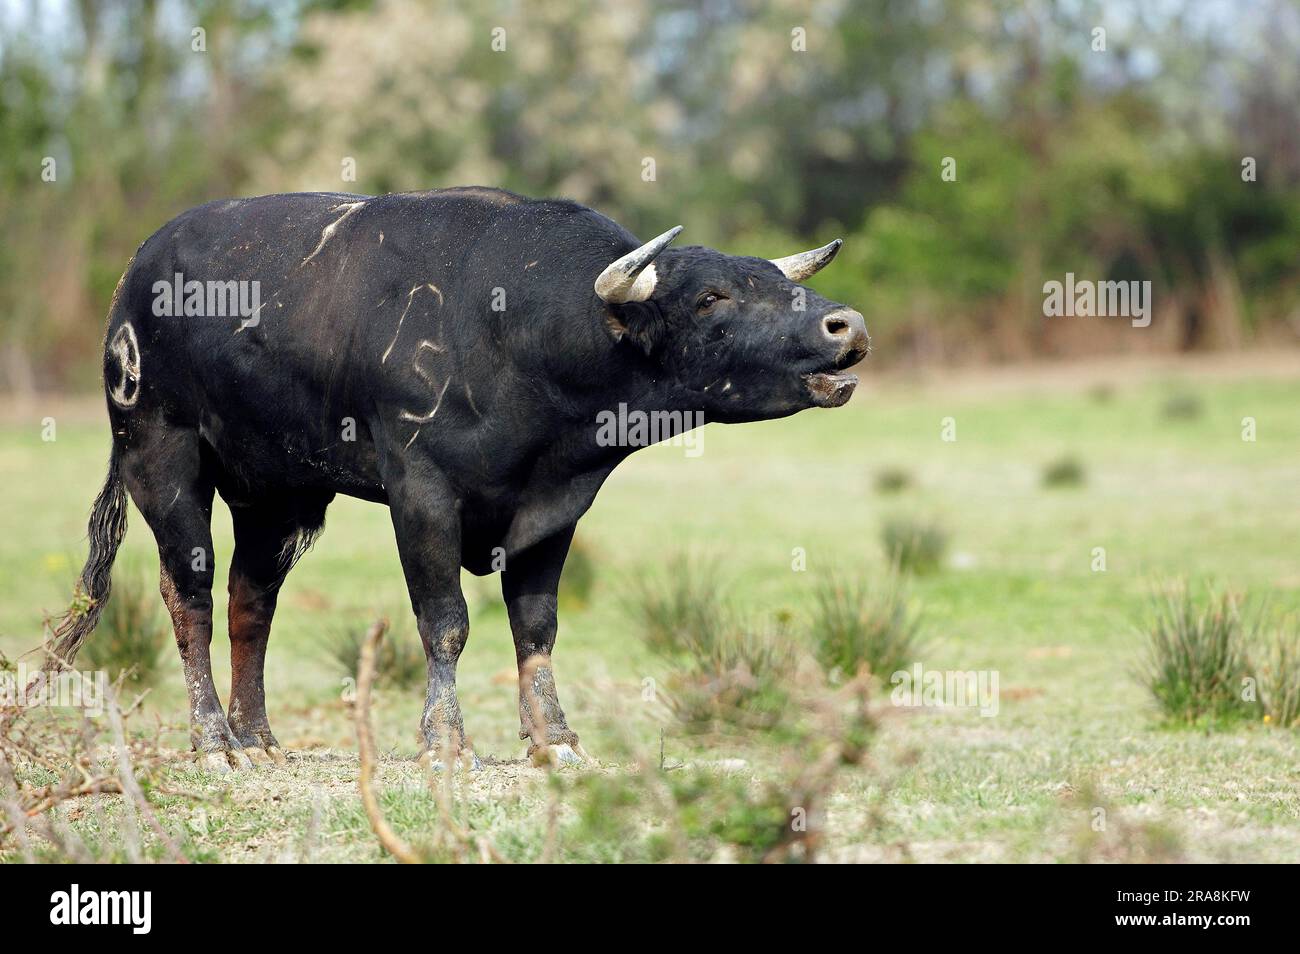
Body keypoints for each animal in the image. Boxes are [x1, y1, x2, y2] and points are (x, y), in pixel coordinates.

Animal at [50, 184, 868, 769]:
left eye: (769, 279)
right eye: (711, 296)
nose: (848, 326)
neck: (521, 333)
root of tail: (136, 277)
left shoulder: (554, 510)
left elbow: (536, 626)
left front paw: (556, 739)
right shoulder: (421, 493)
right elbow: (445, 623)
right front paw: (444, 739)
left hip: (276, 494)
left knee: (252, 600)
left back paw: (260, 739)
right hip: (160, 457)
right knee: (187, 594)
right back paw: (214, 741)